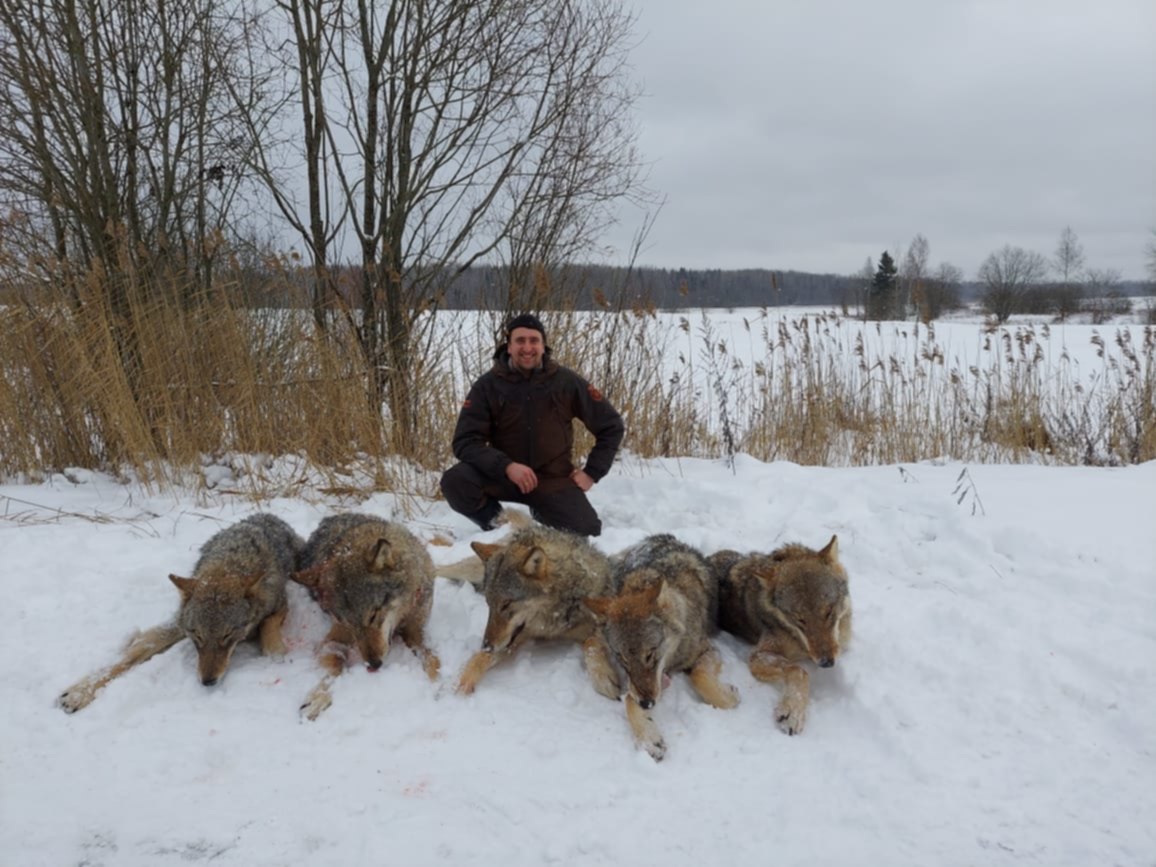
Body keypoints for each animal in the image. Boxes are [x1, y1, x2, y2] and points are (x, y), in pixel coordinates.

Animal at [59, 515, 305, 712]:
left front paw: (275, 649)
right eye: (198, 636)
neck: (228, 565)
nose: (207, 682)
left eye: (227, 636)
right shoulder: (179, 623)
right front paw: (80, 692)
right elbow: (132, 655)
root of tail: (267, 516)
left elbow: (269, 625)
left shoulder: (280, 603)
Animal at [291, 515, 439, 721]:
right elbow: (333, 666)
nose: (373, 664)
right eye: (346, 622)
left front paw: (437, 690)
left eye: (373, 615)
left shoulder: (417, 632)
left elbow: (432, 660)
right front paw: (317, 697)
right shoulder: (335, 637)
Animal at [450, 522, 619, 698]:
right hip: (467, 570)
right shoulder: (518, 636)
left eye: (506, 604)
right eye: (488, 602)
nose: (486, 645)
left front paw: (603, 678)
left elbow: (591, 643)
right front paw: (462, 682)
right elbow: (479, 658)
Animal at [587, 534, 739, 762]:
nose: (647, 704)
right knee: (590, 638)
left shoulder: (707, 650)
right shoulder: (640, 686)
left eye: (650, 655)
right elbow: (629, 700)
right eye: (622, 659)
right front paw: (648, 738)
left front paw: (728, 697)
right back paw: (603, 677)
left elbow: (700, 677)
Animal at [702, 541, 850, 735]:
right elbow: (800, 671)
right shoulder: (759, 655)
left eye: (828, 612)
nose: (826, 663)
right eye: (800, 620)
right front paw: (792, 711)